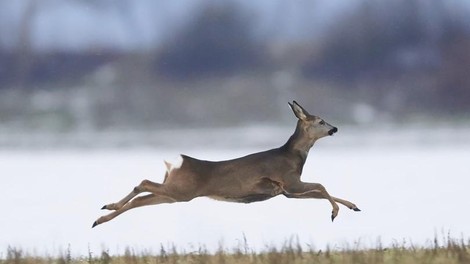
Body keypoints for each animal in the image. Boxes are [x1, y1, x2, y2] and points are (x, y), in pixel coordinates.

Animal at [93, 100, 362, 228]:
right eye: (320, 121)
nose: (335, 128)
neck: (293, 156)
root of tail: (176, 163)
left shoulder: (286, 192)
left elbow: (319, 191)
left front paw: (353, 206)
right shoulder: (289, 181)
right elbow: (322, 186)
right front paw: (335, 213)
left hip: (175, 193)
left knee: (140, 198)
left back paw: (101, 217)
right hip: (182, 191)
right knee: (143, 183)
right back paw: (107, 208)